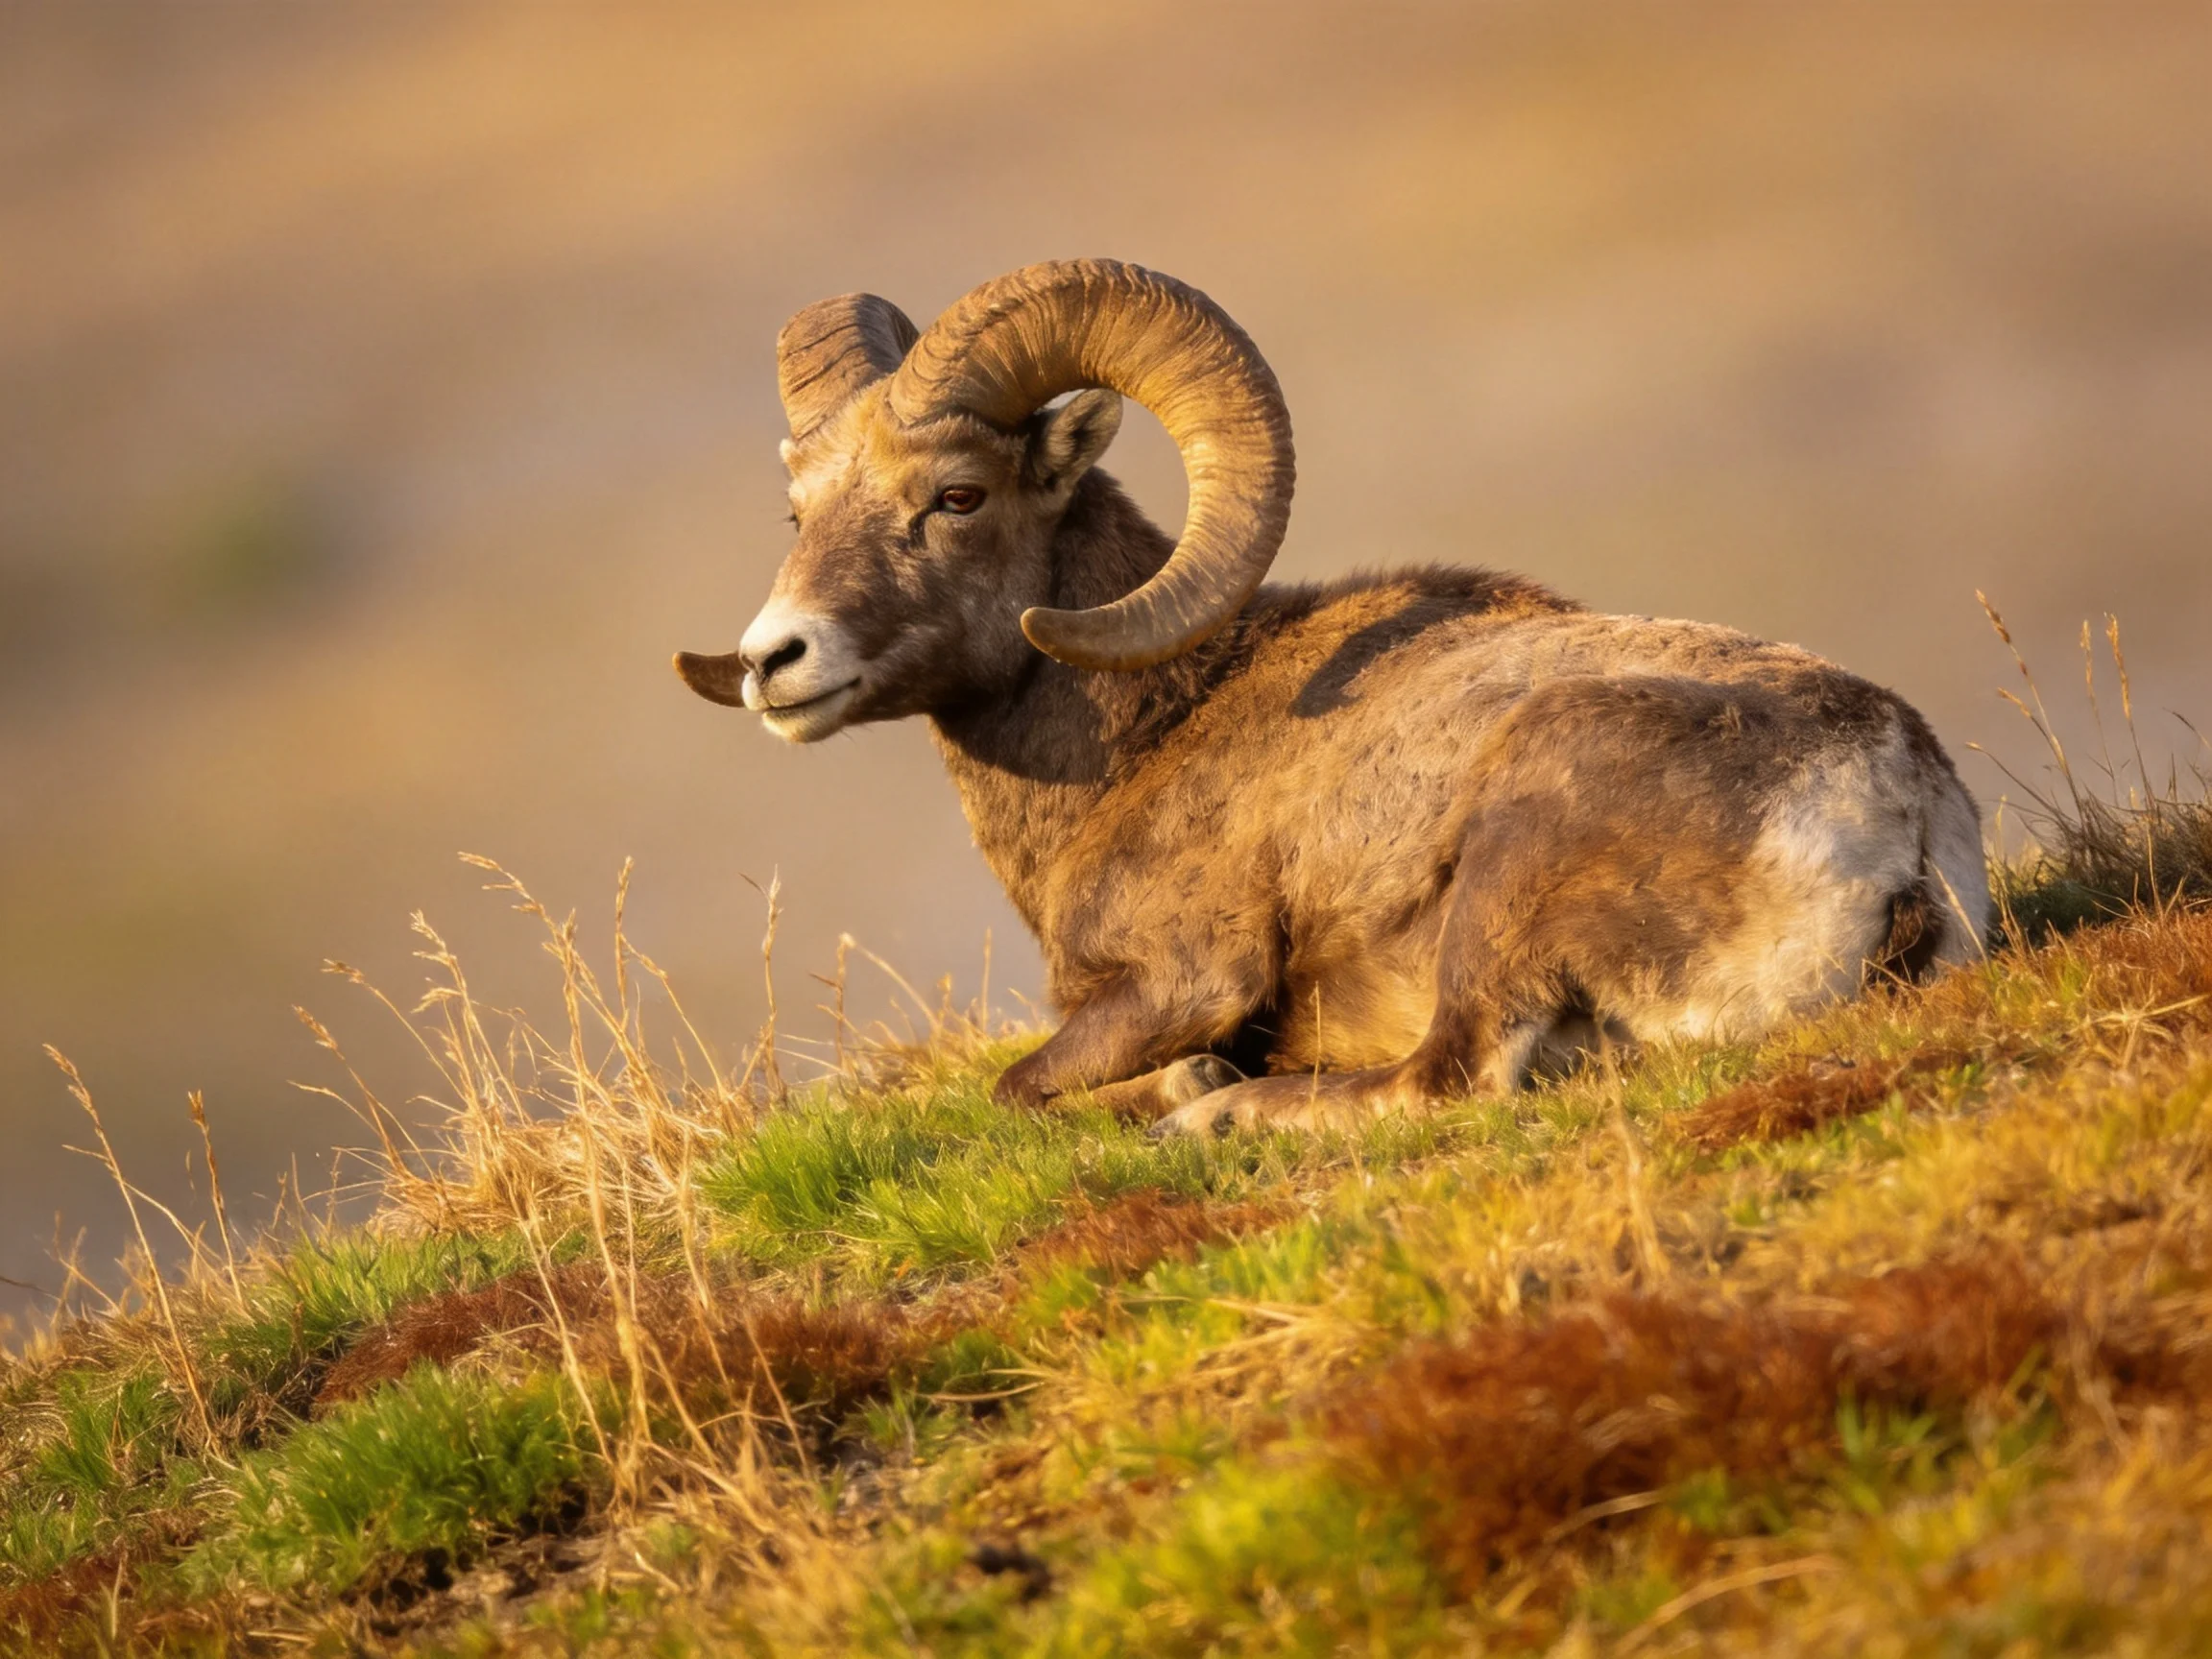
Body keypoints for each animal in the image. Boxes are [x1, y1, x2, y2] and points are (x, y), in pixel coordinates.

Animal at [674, 259, 1990, 1134]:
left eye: (956, 496)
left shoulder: (1182, 982)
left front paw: (1197, 1085)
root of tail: (1896, 823)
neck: (1147, 737)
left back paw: (1217, 1117)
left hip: (1508, 867)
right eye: (798, 513)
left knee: (1444, 1080)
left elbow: (1020, 1086)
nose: (774, 660)